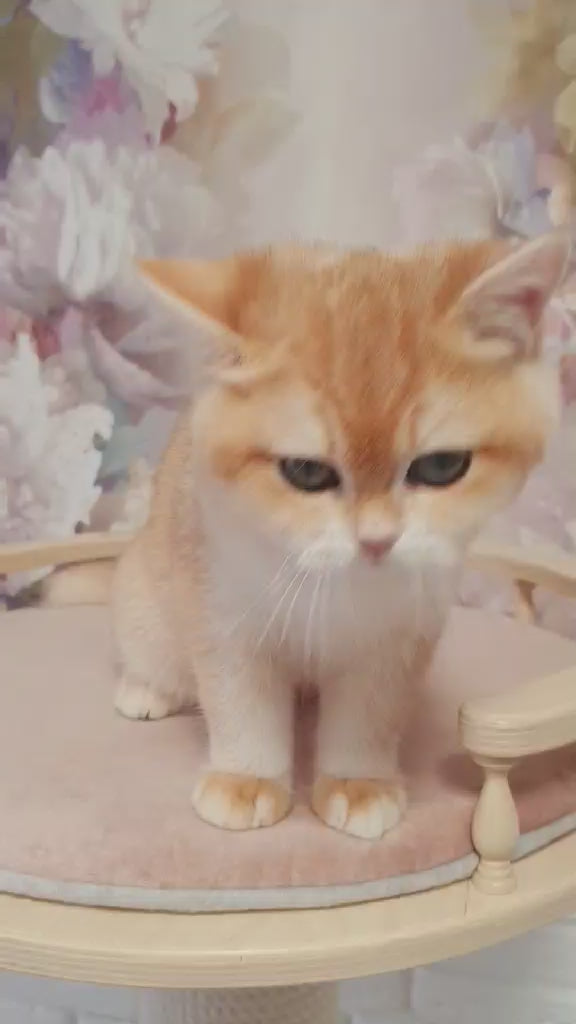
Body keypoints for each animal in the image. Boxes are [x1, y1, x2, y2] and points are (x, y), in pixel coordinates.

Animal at [111, 233, 567, 840]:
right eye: (306, 472)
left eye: (442, 466)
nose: (377, 541)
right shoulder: (222, 610)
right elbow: (239, 697)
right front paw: (247, 778)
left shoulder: (401, 633)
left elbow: (369, 712)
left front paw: (358, 781)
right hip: (145, 601)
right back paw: (148, 689)